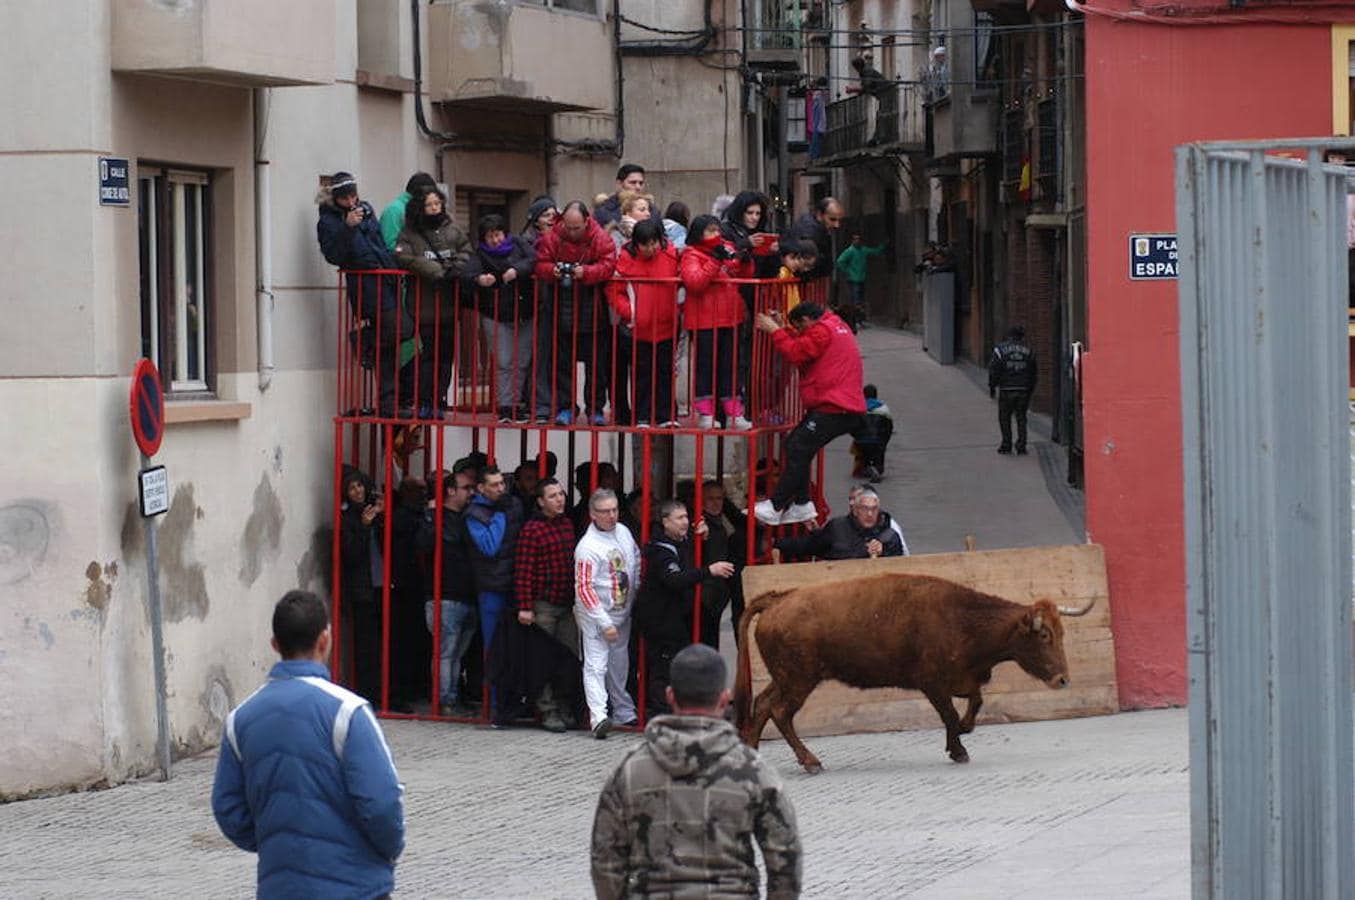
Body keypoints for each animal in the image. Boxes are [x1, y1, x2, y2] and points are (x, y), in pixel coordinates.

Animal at [737, 571, 1094, 769]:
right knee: (780, 712)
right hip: (799, 681)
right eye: (1044, 636)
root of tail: (778, 600)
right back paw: (810, 762)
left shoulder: (963, 679)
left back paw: (753, 756)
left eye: (1062, 633)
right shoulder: (932, 684)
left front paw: (962, 734)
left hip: (784, 679)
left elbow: (975, 703)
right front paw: (958, 749)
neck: (961, 618)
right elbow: (950, 714)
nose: (1062, 679)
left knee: (762, 704)